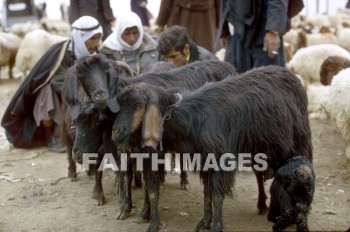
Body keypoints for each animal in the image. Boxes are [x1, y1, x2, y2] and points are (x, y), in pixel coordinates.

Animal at [113, 65, 314, 232]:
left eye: (139, 104)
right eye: (120, 104)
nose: (115, 132)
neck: (191, 120)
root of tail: (288, 72)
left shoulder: (219, 160)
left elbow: (217, 195)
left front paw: (216, 226)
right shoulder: (204, 161)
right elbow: (207, 193)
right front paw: (205, 222)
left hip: (300, 141)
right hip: (262, 147)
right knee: (260, 175)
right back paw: (263, 206)